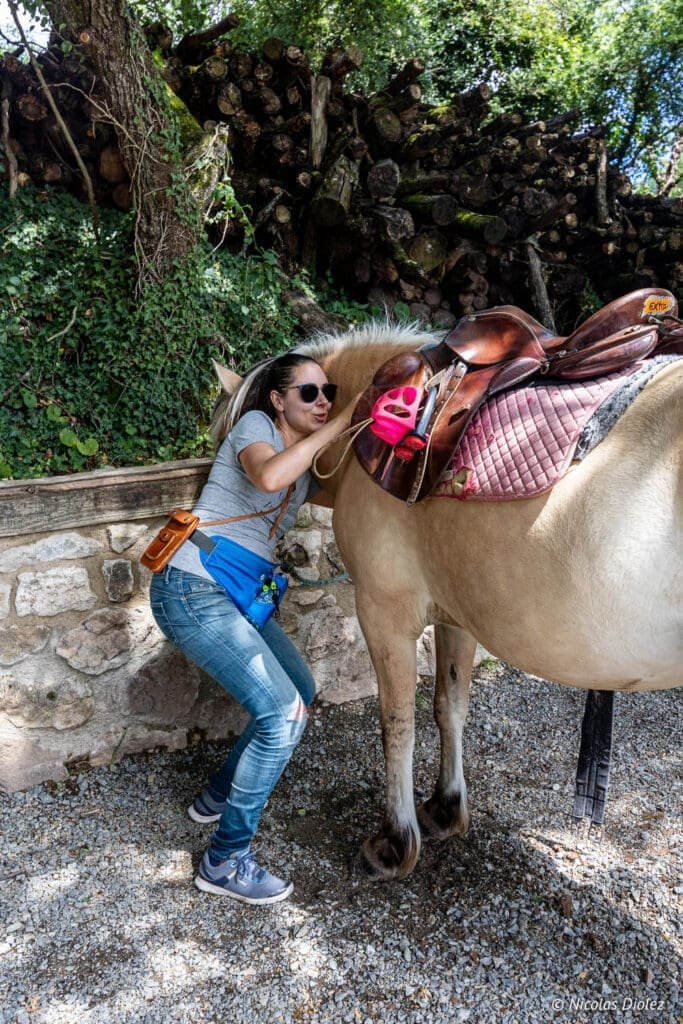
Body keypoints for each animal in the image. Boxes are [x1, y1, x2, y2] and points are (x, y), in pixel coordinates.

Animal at [213, 320, 682, 881]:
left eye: (231, 438)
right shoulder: (456, 617)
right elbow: (449, 706)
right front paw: (445, 807)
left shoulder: (383, 614)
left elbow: (397, 723)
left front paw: (397, 840)